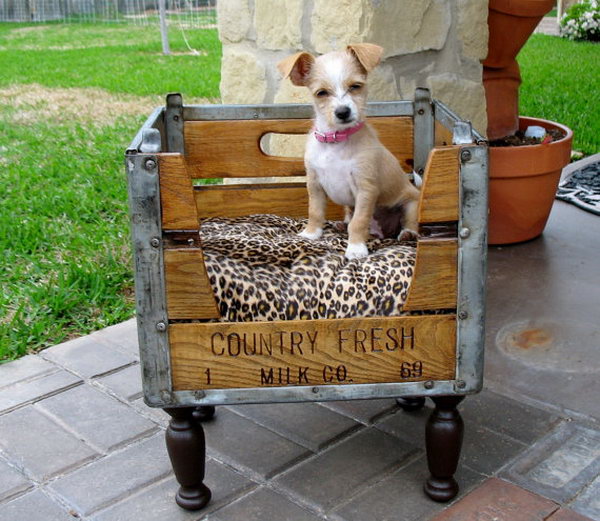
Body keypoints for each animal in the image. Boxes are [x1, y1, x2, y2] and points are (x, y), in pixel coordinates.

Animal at [278, 43, 420, 258]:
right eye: (321, 93)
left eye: (355, 86)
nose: (343, 112)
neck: (335, 141)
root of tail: (382, 233)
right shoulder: (314, 185)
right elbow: (315, 212)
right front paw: (311, 233)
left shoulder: (365, 189)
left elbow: (359, 222)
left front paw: (355, 248)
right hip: (349, 206)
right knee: (349, 218)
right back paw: (342, 225)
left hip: (410, 203)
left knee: (409, 222)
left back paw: (407, 233)